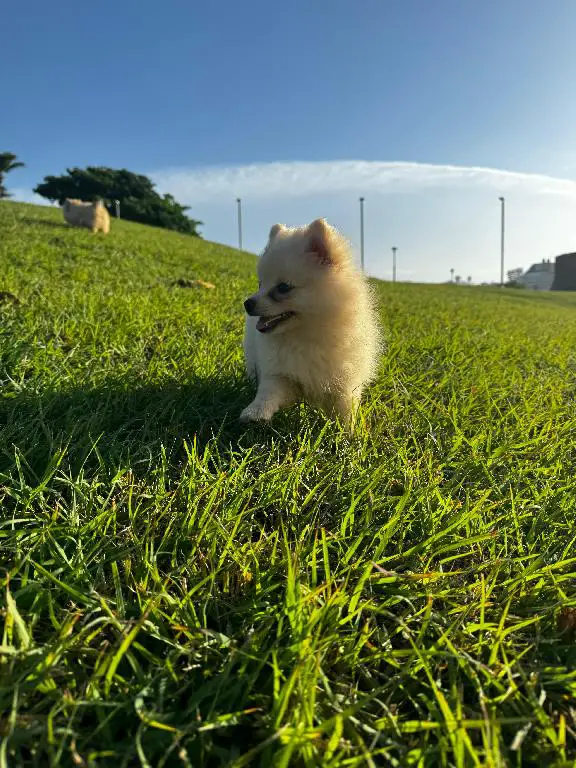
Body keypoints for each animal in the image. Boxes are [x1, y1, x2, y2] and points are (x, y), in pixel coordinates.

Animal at [242, 219, 382, 428]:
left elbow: (346, 412)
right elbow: (268, 391)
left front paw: (350, 433)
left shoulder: (344, 385)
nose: (248, 303)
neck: (305, 334)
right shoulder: (280, 373)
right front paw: (256, 412)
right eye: (260, 284)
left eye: (283, 287)